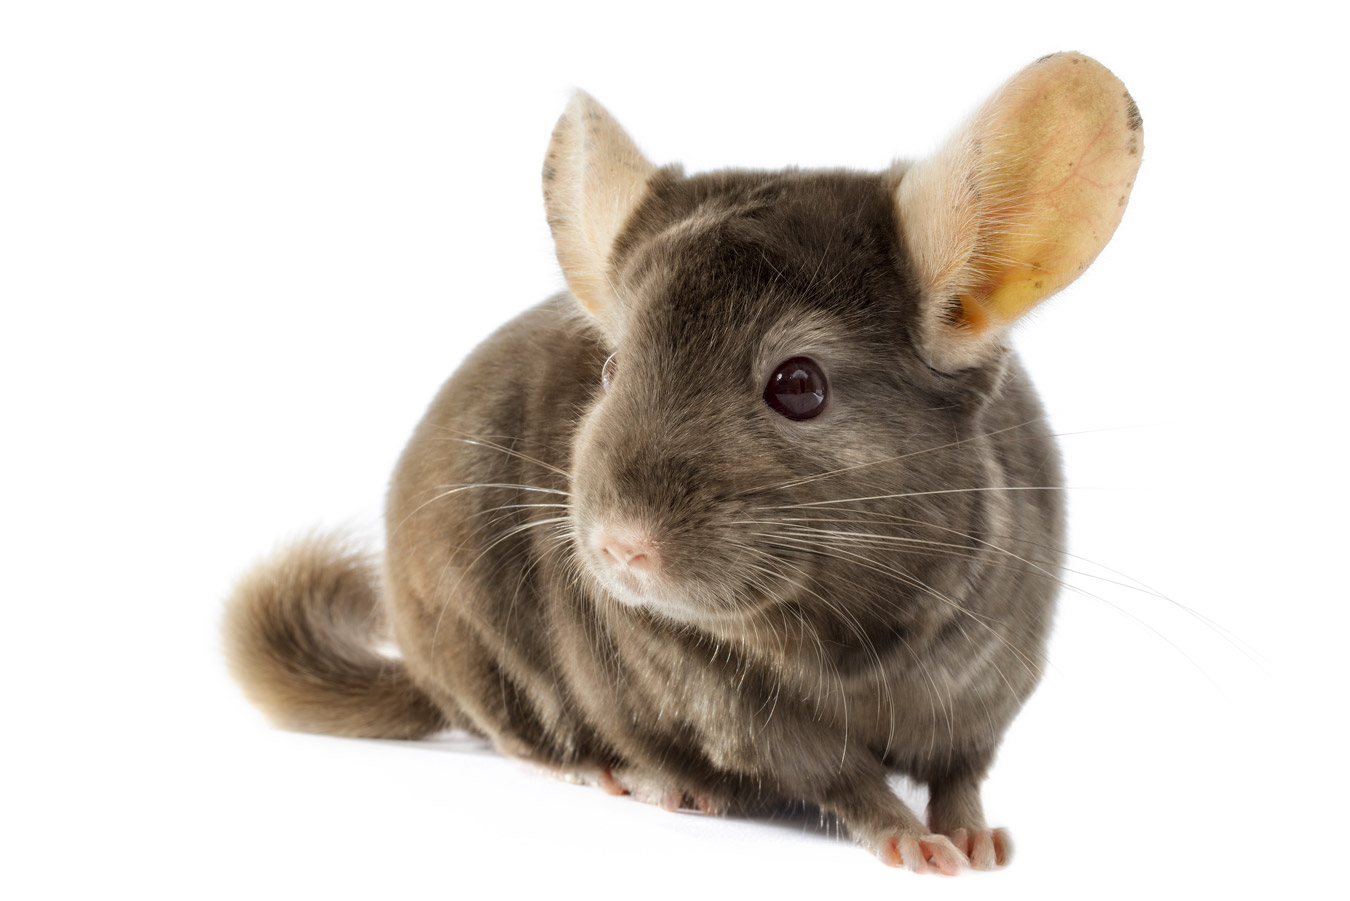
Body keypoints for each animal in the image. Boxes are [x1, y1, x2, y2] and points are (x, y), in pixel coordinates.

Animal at [224, 51, 1142, 874]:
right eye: (610, 369)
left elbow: (963, 772)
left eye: (799, 385)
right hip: (473, 638)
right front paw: (913, 844)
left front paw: (978, 842)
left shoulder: (993, 680)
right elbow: (844, 779)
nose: (620, 548)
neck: (851, 636)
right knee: (520, 733)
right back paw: (630, 773)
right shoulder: (741, 715)